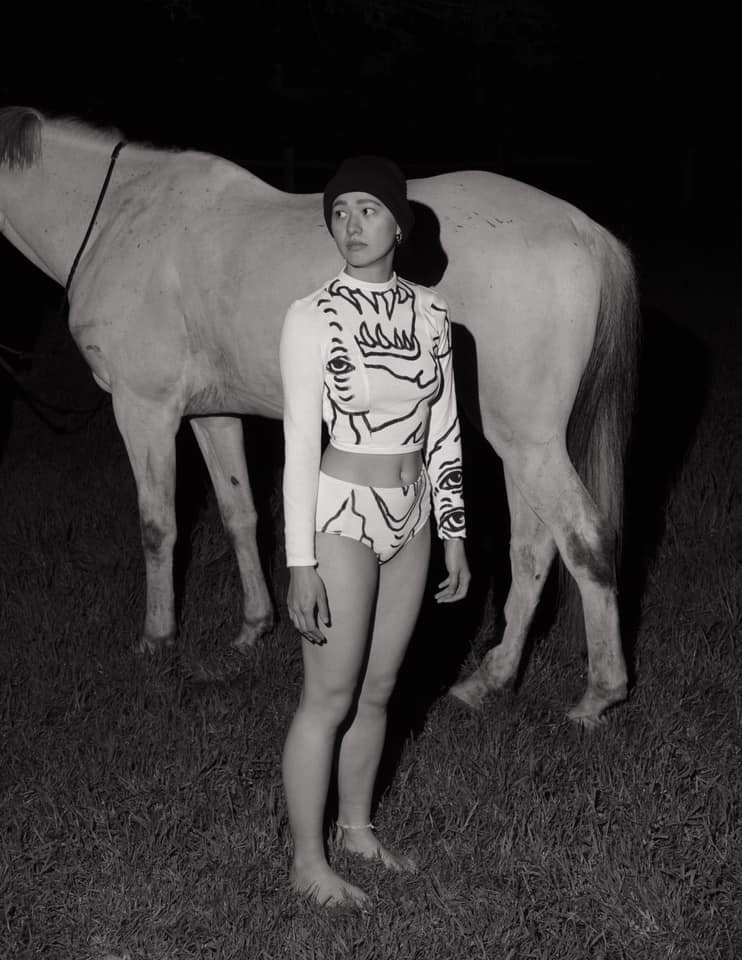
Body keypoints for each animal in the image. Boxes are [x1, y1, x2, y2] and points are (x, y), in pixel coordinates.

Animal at [0, 106, 639, 725]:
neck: (117, 215)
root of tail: (583, 229)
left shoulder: (144, 409)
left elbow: (157, 526)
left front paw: (157, 641)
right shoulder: (213, 414)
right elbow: (240, 513)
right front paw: (254, 627)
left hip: (529, 443)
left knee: (585, 542)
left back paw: (598, 696)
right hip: (521, 444)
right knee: (532, 551)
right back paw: (491, 679)